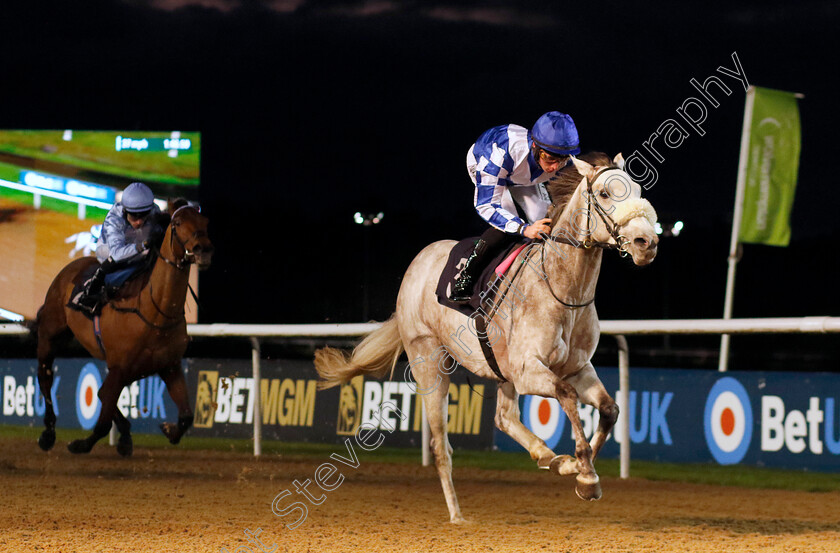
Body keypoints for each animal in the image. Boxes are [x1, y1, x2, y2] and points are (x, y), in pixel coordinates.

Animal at [32, 201, 217, 454]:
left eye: (205, 222)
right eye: (178, 223)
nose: (203, 250)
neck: (156, 312)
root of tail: (73, 266)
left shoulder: (169, 366)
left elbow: (186, 417)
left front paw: (167, 430)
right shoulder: (120, 367)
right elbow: (101, 423)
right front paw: (80, 444)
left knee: (101, 393)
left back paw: (125, 435)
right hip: (50, 334)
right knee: (46, 376)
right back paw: (48, 433)